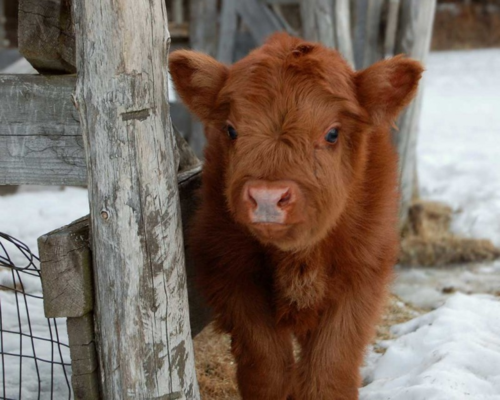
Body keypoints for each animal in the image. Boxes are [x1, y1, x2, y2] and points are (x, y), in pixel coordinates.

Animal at [169, 32, 422, 400]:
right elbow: (268, 370)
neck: (299, 258)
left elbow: (329, 371)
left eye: (332, 133)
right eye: (231, 130)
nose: (267, 196)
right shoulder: (234, 275)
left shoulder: (361, 279)